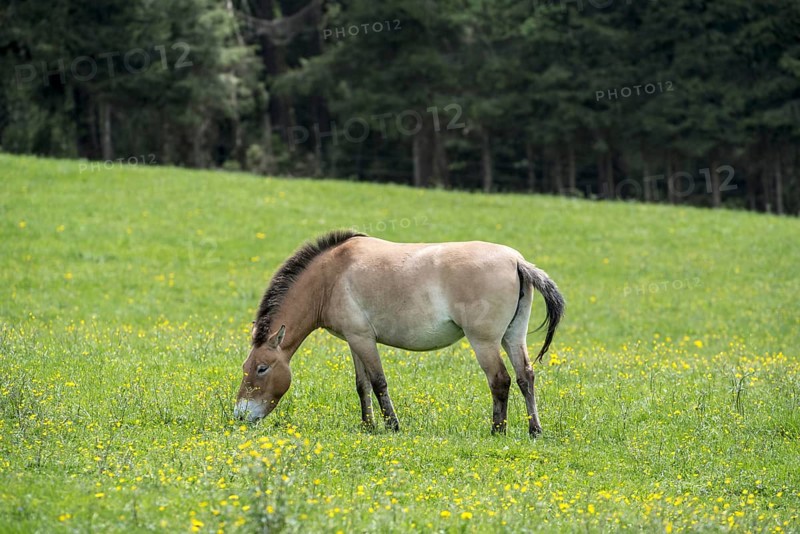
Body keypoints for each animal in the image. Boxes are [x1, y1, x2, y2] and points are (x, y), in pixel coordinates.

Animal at [234, 230, 564, 436]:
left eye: (262, 368)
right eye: (245, 367)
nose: (240, 415)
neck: (330, 277)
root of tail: (516, 261)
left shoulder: (364, 339)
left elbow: (379, 382)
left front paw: (392, 425)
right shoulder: (354, 340)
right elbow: (362, 385)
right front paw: (367, 426)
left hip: (484, 342)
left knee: (500, 380)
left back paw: (498, 429)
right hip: (513, 337)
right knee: (525, 377)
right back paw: (534, 430)